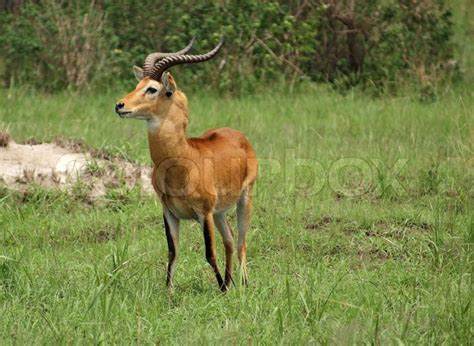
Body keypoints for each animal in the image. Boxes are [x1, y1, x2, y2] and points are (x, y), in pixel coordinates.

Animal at [115, 39, 258, 290]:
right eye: (138, 84)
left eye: (152, 89)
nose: (120, 105)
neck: (183, 160)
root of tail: (239, 136)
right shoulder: (169, 212)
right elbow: (173, 252)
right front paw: (169, 291)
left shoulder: (204, 213)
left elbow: (209, 253)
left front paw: (221, 290)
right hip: (220, 212)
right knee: (230, 240)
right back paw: (230, 282)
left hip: (244, 199)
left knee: (241, 242)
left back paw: (243, 284)